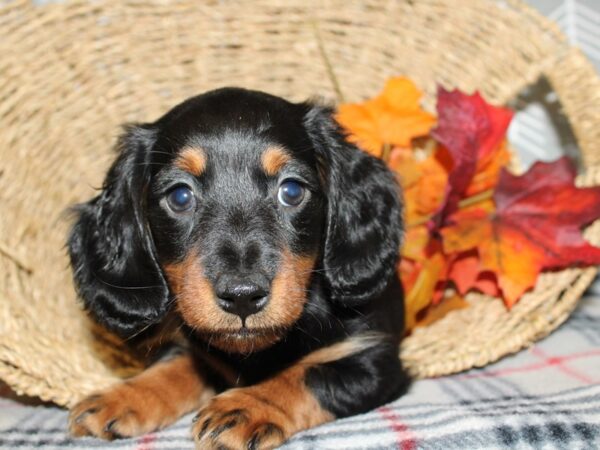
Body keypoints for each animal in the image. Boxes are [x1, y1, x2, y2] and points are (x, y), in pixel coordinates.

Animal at [68, 88, 410, 450]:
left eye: (291, 190)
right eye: (180, 196)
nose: (243, 297)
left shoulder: (373, 360)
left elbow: (308, 373)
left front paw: (246, 406)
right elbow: (179, 362)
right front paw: (124, 396)